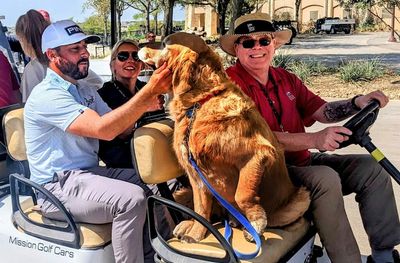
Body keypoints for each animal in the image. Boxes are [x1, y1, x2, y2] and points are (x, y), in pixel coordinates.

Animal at [139, 32, 310, 243]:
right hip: (184, 192)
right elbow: (200, 209)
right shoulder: (196, 176)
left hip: (300, 199)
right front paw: (196, 233)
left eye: (164, 44)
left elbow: (242, 195)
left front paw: (255, 223)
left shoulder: (258, 153)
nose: (140, 46)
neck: (201, 102)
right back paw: (188, 225)